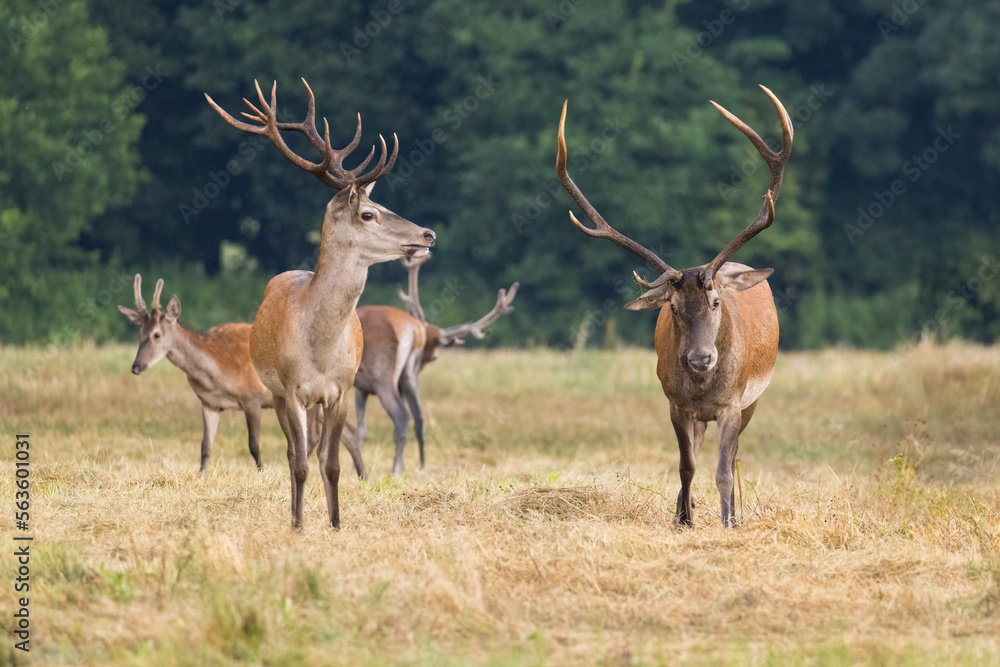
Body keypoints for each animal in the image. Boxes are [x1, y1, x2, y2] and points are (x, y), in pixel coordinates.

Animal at [206, 79, 435, 530]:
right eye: (368, 213)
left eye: (384, 206)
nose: (428, 234)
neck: (321, 347)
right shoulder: (292, 390)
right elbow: (299, 463)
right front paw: (298, 524)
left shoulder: (341, 389)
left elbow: (332, 463)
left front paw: (336, 523)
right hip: (275, 392)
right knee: (292, 452)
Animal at [350, 255, 519, 476]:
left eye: (430, 357)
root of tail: (414, 330)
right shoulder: (362, 386)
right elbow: (361, 429)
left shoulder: (359, 384)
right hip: (407, 378)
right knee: (419, 418)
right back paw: (419, 466)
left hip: (382, 376)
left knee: (401, 415)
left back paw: (396, 470)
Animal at [556, 85, 792, 527]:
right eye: (673, 309)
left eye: (715, 301)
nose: (701, 359)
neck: (703, 389)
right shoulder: (676, 404)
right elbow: (686, 465)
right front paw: (683, 518)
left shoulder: (734, 404)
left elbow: (723, 468)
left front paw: (727, 521)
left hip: (755, 398)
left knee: (734, 457)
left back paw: (734, 512)